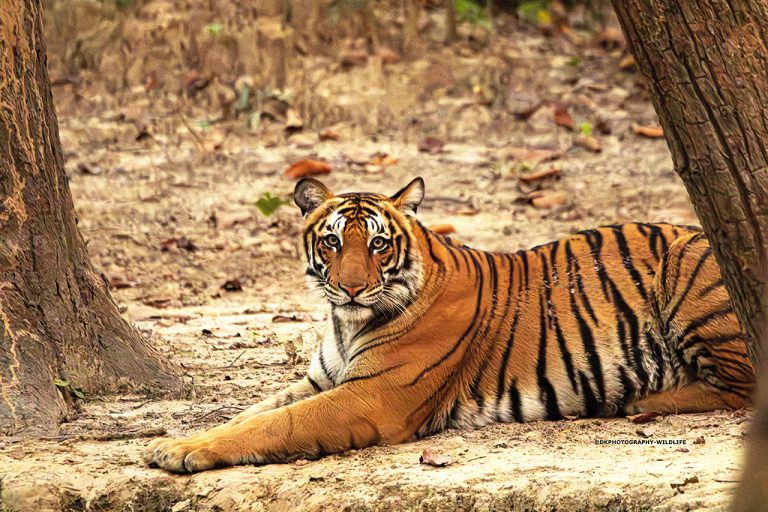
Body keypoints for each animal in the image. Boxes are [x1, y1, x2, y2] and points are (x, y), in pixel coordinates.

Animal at [146, 177, 755, 473]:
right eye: (333, 241)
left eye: (378, 244)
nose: (351, 288)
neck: (346, 323)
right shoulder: (323, 379)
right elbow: (251, 413)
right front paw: (180, 440)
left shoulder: (371, 396)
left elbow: (278, 425)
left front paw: (180, 451)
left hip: (688, 269)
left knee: (742, 387)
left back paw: (640, 399)